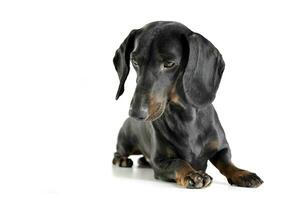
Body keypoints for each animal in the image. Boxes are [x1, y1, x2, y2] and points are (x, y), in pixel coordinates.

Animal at [111, 21, 262, 188]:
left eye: (169, 63)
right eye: (135, 62)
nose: (135, 113)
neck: (186, 119)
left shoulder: (222, 148)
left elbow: (227, 163)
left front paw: (242, 173)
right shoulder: (160, 162)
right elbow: (179, 163)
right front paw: (193, 174)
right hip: (126, 143)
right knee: (118, 152)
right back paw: (122, 159)